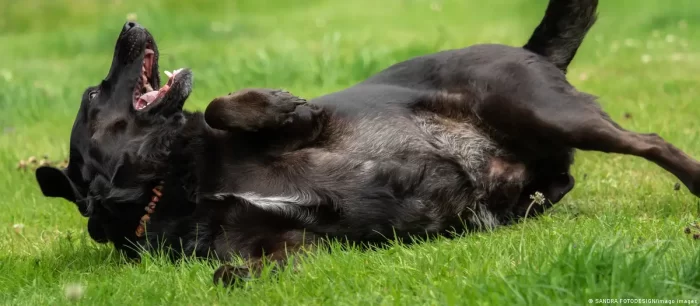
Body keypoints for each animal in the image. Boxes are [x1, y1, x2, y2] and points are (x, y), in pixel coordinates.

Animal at [35, 0, 700, 286]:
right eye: (96, 95)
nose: (128, 21)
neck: (177, 184)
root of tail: (528, 49)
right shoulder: (286, 242)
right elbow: (228, 273)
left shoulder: (318, 125)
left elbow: (229, 109)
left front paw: (278, 101)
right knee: (559, 180)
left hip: (545, 110)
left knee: (652, 142)